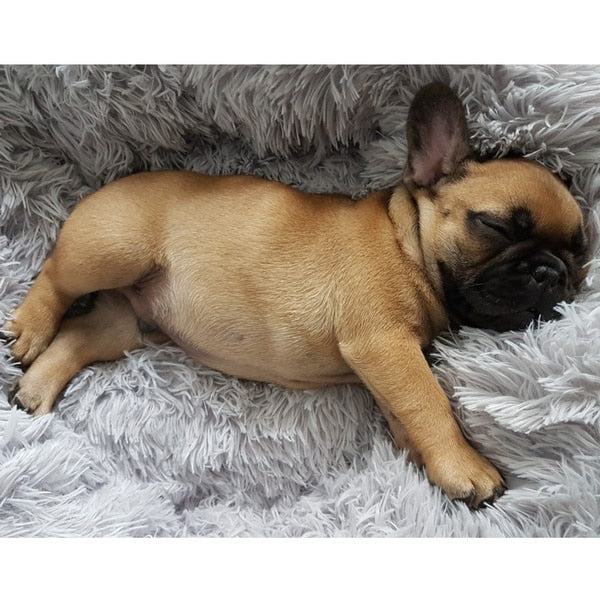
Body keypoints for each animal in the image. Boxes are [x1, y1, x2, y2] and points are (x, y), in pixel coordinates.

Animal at [3, 82, 584, 508]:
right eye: (496, 226)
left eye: (580, 251)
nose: (551, 272)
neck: (407, 245)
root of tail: (110, 184)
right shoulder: (385, 345)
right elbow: (428, 401)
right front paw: (464, 466)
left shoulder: (384, 363)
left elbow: (403, 412)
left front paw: (420, 458)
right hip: (113, 248)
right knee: (54, 277)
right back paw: (29, 327)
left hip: (128, 323)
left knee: (81, 335)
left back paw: (36, 387)